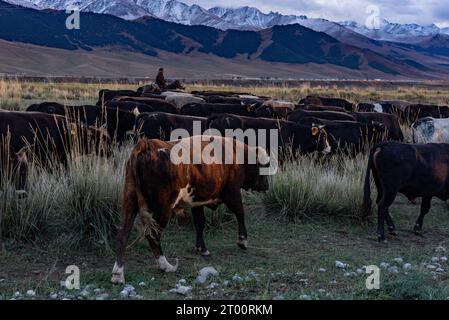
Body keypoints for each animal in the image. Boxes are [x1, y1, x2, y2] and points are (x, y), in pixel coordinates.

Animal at [111, 136, 270, 284]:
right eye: (264, 166)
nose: (267, 185)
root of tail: (147, 145)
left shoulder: (197, 202)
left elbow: (200, 223)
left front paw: (202, 249)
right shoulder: (232, 193)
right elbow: (240, 214)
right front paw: (243, 241)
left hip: (129, 201)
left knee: (122, 235)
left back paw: (118, 274)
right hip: (162, 208)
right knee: (152, 235)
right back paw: (166, 266)